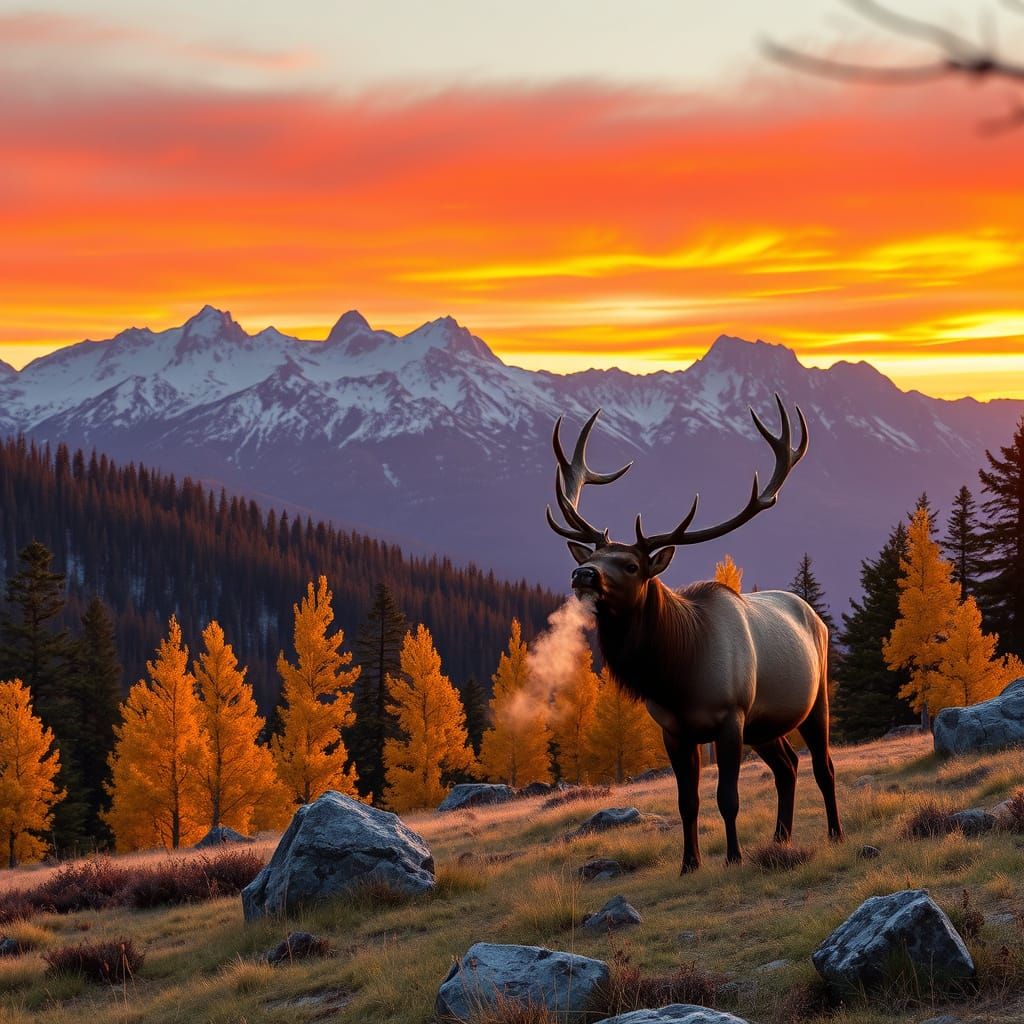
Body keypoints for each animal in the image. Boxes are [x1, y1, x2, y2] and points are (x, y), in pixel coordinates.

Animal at [545, 397, 842, 872]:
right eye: (592, 555)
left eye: (631, 565)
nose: (583, 573)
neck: (677, 676)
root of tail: (814, 615)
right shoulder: (674, 730)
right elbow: (688, 802)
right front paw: (690, 863)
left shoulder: (730, 717)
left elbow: (728, 798)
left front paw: (734, 857)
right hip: (764, 725)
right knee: (787, 766)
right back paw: (780, 838)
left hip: (813, 702)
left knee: (822, 766)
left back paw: (834, 833)